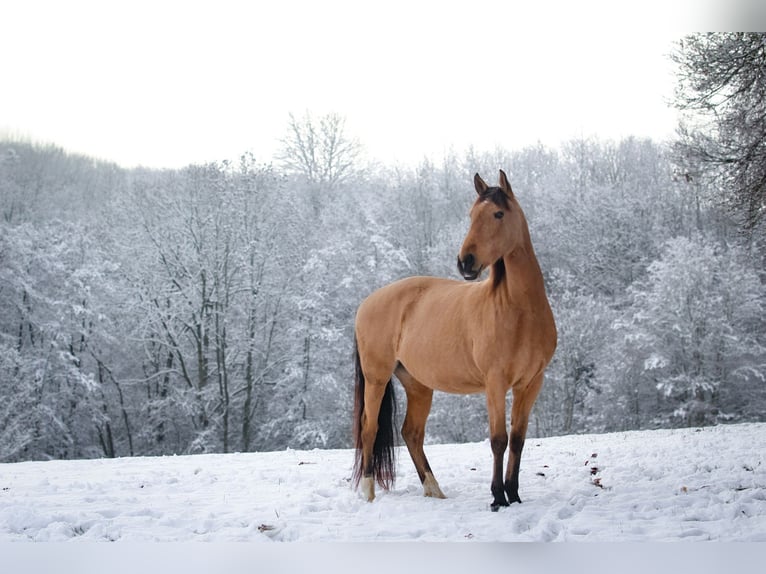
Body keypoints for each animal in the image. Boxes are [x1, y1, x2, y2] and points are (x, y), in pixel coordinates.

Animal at [352, 169, 560, 510]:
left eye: (498, 213)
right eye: (471, 215)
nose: (466, 262)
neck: (519, 310)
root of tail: (367, 302)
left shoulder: (530, 384)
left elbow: (517, 440)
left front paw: (514, 494)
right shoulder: (495, 382)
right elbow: (499, 440)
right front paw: (497, 498)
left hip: (418, 385)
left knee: (412, 433)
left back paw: (434, 490)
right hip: (376, 378)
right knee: (370, 428)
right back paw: (368, 493)